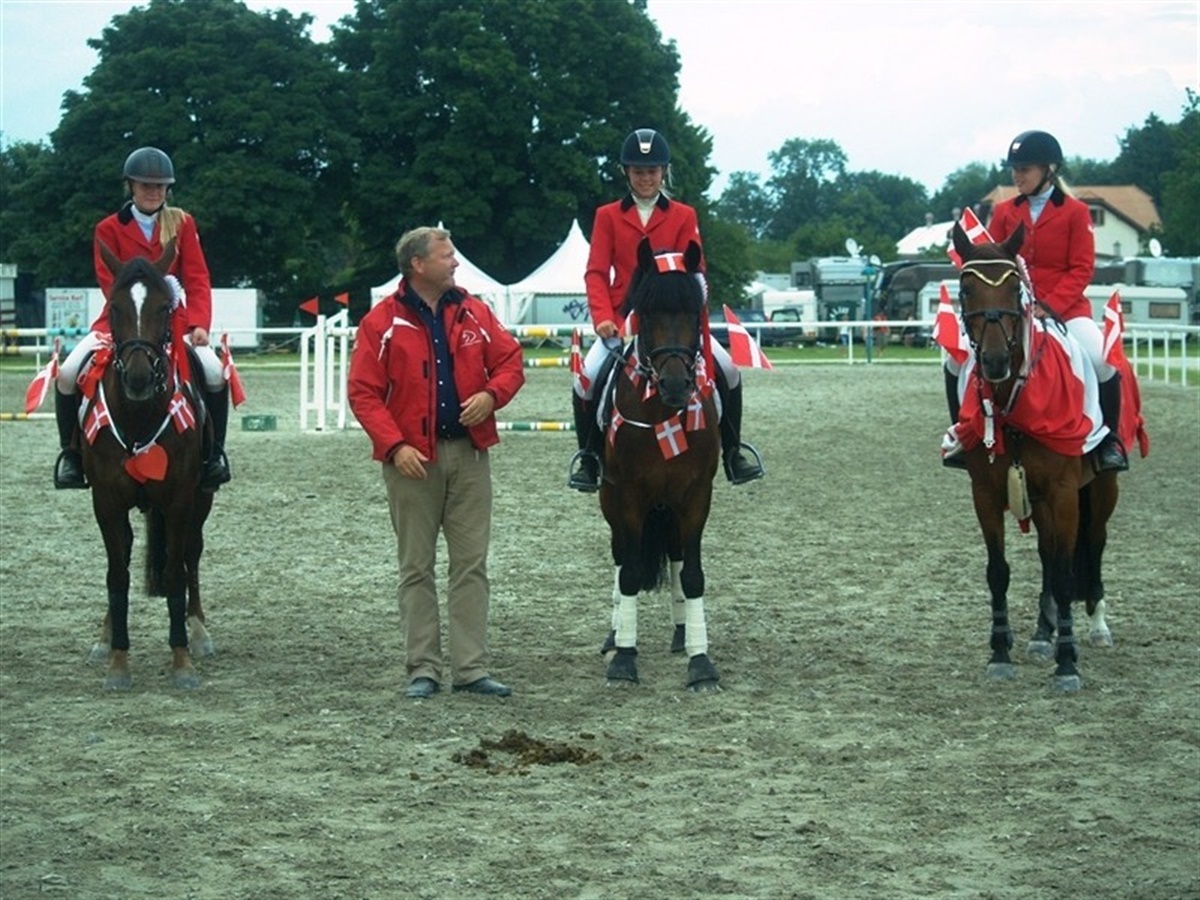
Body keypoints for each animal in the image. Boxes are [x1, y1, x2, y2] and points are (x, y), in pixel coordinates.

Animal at [80, 241, 215, 690]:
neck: (139, 417)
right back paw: (104, 637)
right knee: (122, 555)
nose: (138, 379)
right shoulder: (105, 501)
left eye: (163, 308)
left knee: (191, 553)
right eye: (114, 307)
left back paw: (199, 631)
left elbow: (174, 572)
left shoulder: (179, 500)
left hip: (201, 500)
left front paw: (182, 660)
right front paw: (118, 662)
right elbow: (116, 575)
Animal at [598, 239, 722, 692]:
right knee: (621, 558)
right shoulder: (628, 496)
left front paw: (700, 662)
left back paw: (683, 633)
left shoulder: (696, 496)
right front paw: (624, 659)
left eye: (693, 314)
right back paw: (615, 635)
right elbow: (631, 572)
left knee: (676, 557)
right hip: (610, 500)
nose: (675, 386)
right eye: (647, 314)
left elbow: (693, 574)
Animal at [951, 221, 1119, 693]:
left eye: (1014, 289)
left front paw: (1067, 664)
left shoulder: (1063, 493)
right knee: (1047, 553)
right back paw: (1043, 635)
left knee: (1093, 545)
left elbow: (1065, 576)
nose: (993, 361)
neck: (1014, 405)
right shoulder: (985, 494)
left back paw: (1095, 627)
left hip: (1099, 491)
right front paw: (1000, 653)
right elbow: (999, 571)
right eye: (966, 289)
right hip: (1042, 501)